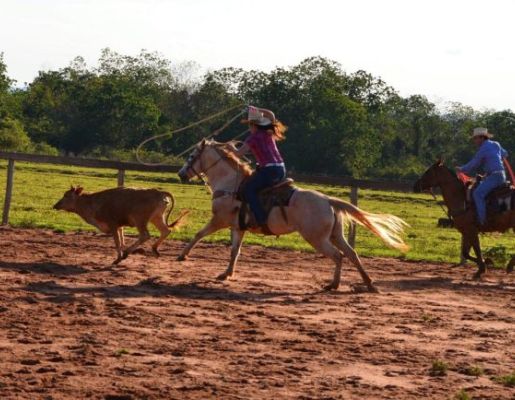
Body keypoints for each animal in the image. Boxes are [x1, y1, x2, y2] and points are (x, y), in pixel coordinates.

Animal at [52, 186, 188, 264]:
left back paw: (128, 252)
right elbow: (122, 239)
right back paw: (154, 250)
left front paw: (118, 257)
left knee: (145, 235)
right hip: (157, 217)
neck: (92, 203)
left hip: (140, 219)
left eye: (66, 195)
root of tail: (159, 192)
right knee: (165, 231)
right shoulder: (120, 226)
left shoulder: (113, 224)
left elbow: (117, 241)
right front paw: (121, 254)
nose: (55, 205)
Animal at [175, 139, 410, 292]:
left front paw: (182, 255)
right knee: (351, 253)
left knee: (338, 256)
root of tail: (328, 200)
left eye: (191, 156)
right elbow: (235, 251)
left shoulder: (219, 220)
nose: (180, 174)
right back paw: (368, 283)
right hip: (335, 235)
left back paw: (333, 284)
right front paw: (226, 274)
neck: (231, 184)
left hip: (316, 238)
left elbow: (198, 234)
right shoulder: (238, 227)